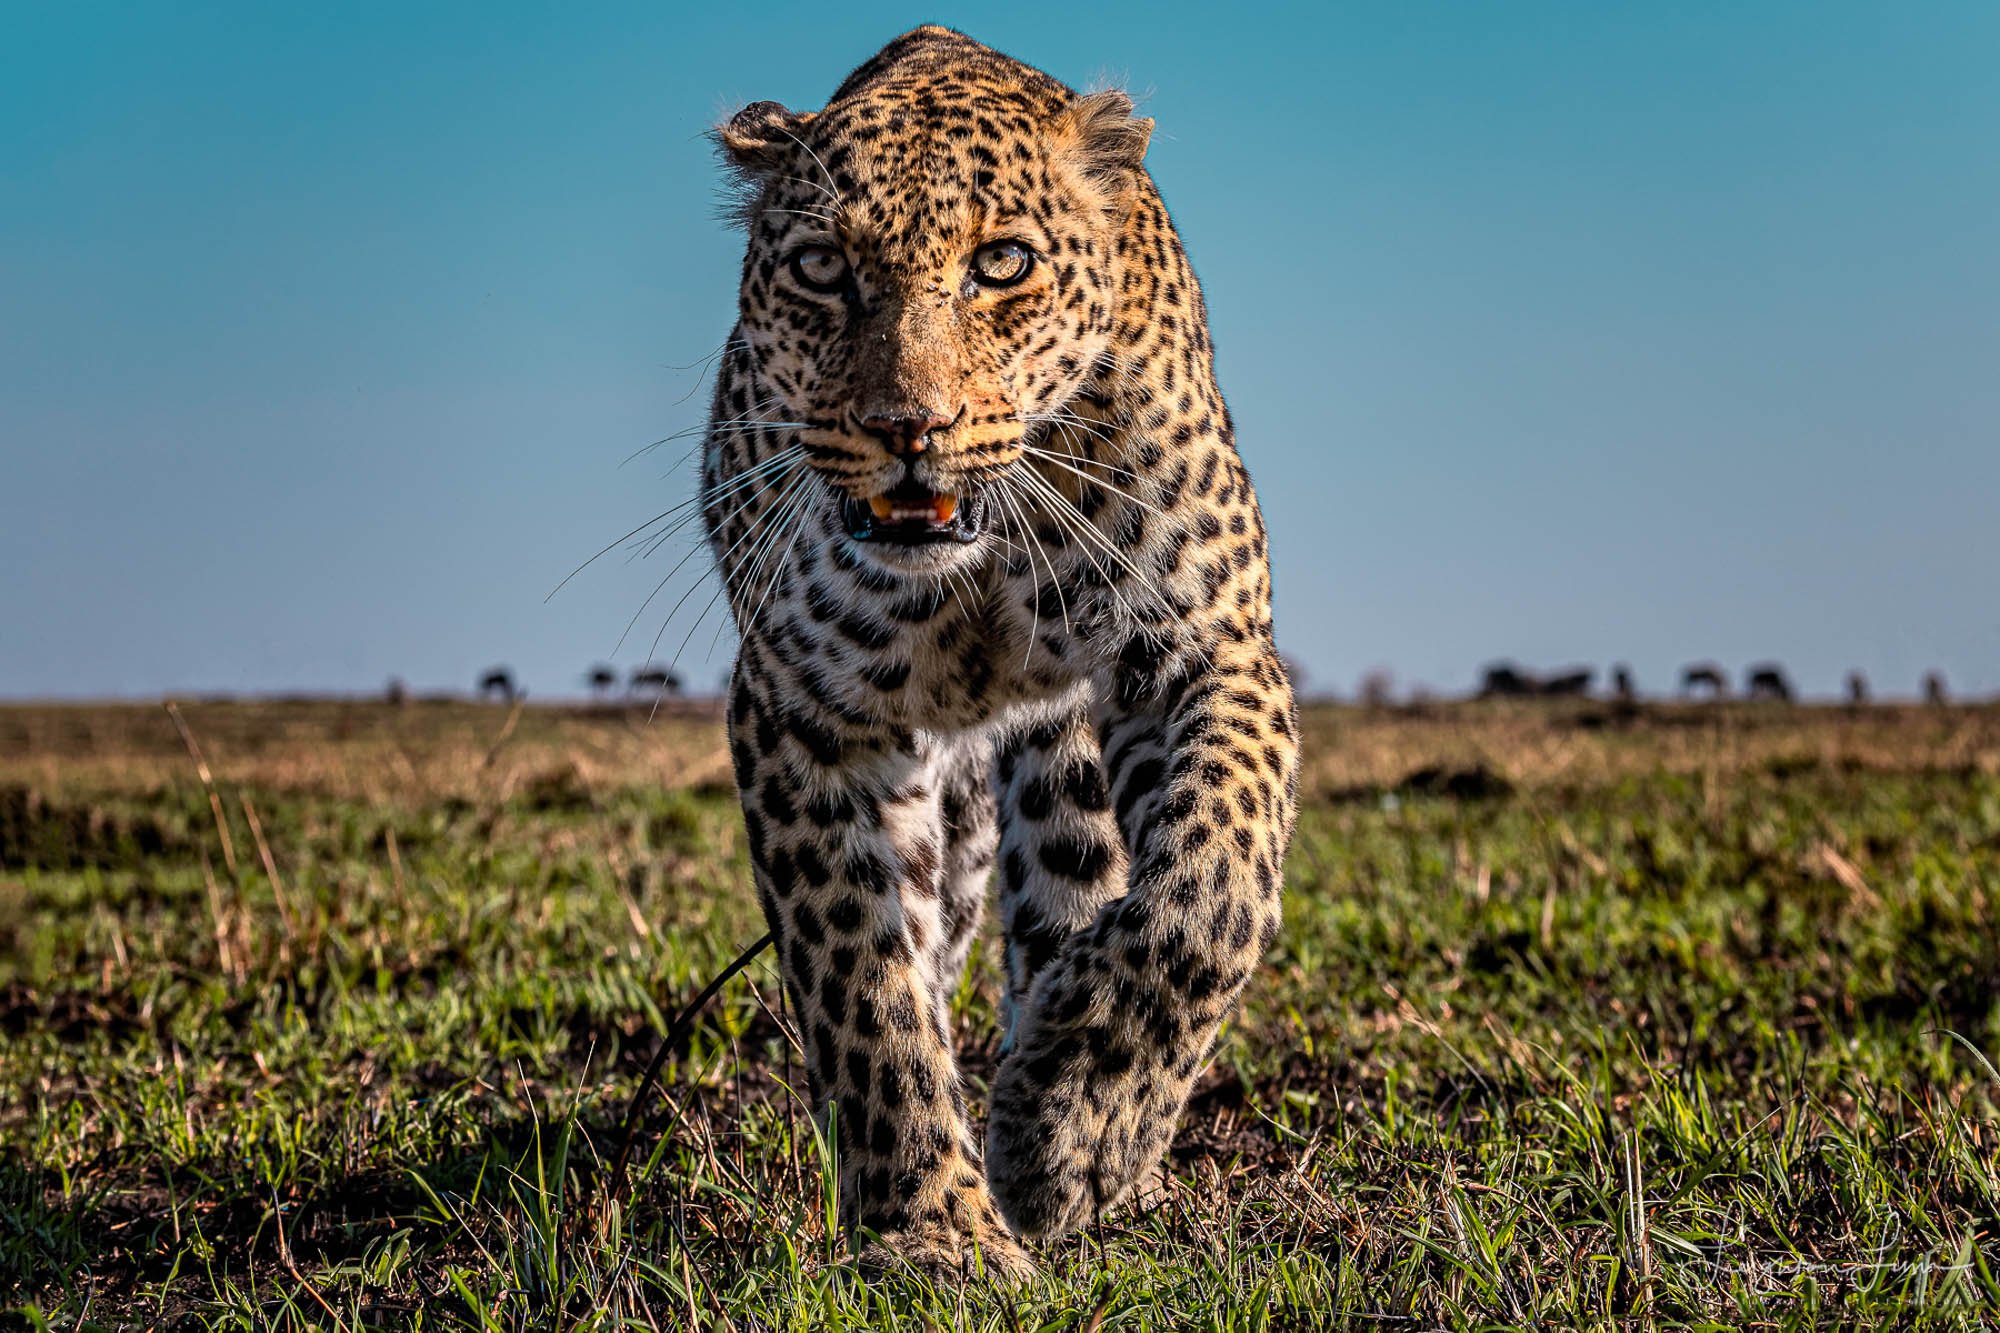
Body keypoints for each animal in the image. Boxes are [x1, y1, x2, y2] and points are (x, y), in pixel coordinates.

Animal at [700, 26, 1296, 1280]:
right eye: (821, 268)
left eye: (1002, 264)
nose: (905, 429)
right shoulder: (802, 707)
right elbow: (862, 985)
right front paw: (935, 1232)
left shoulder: (1203, 645)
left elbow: (1205, 896)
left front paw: (1073, 1129)